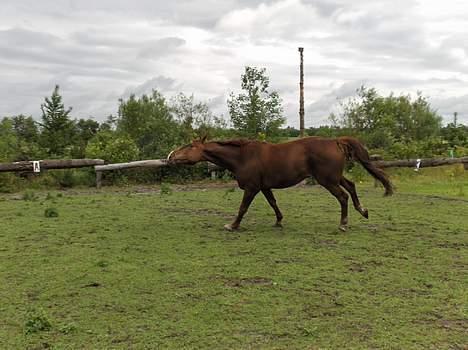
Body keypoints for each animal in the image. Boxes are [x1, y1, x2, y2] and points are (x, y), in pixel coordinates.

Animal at [166, 136, 394, 232]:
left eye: (189, 146)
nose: (171, 156)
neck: (242, 156)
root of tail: (335, 141)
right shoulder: (264, 187)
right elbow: (274, 203)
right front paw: (279, 221)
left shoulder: (252, 188)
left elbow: (242, 208)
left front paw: (232, 225)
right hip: (334, 177)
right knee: (352, 186)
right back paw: (363, 210)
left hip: (327, 180)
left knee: (343, 196)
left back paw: (343, 224)